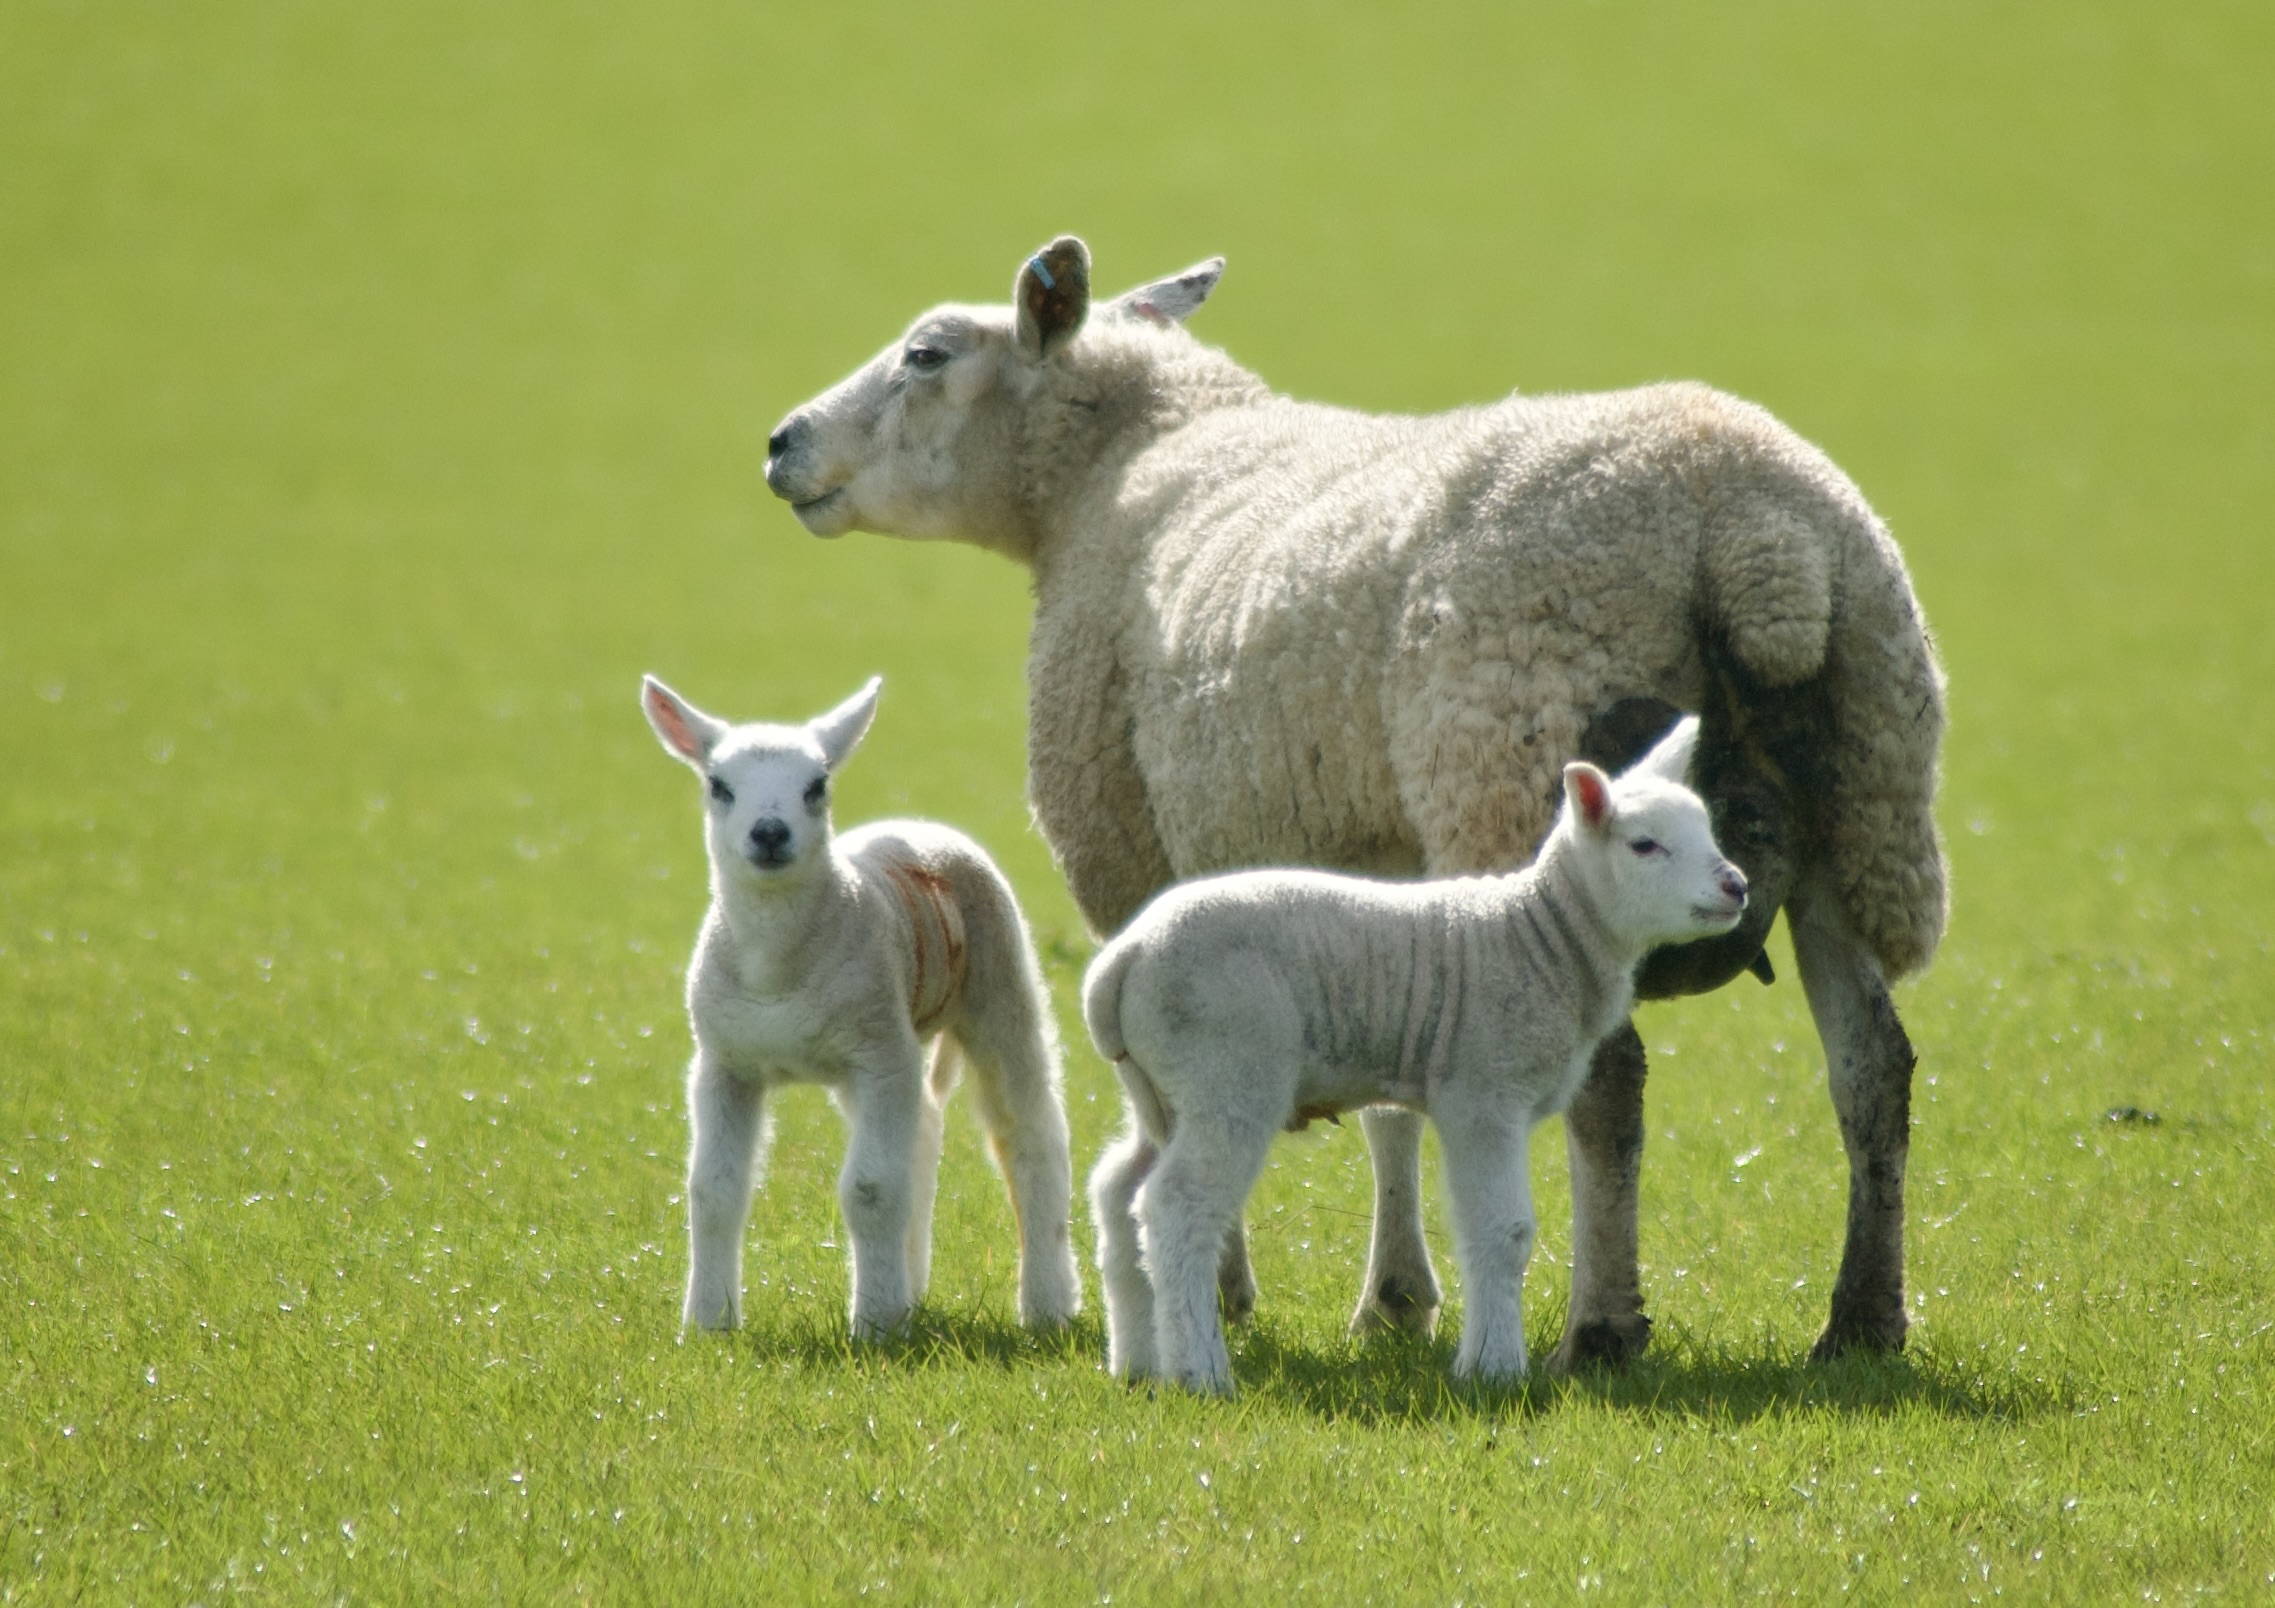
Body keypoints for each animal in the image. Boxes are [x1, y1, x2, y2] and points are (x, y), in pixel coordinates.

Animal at [642, 674, 1081, 1337]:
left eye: (816, 786)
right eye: (719, 786)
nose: (769, 833)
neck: (776, 972)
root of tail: (919, 823)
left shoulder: (879, 1055)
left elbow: (870, 1190)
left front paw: (873, 1327)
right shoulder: (725, 1063)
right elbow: (713, 1190)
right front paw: (707, 1323)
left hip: (999, 985)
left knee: (1031, 1137)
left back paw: (1047, 1305)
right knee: (922, 1136)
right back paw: (911, 1287)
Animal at [1086, 718, 1746, 1393]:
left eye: (1706, 832)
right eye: (1645, 846)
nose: (1736, 887)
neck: (1542, 936)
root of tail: (1121, 962)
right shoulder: (1483, 1094)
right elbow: (1502, 1230)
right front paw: (1494, 1368)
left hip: (1162, 1088)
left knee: (1117, 1190)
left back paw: (1134, 1362)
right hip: (1228, 1073)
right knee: (1178, 1206)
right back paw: (1199, 1372)